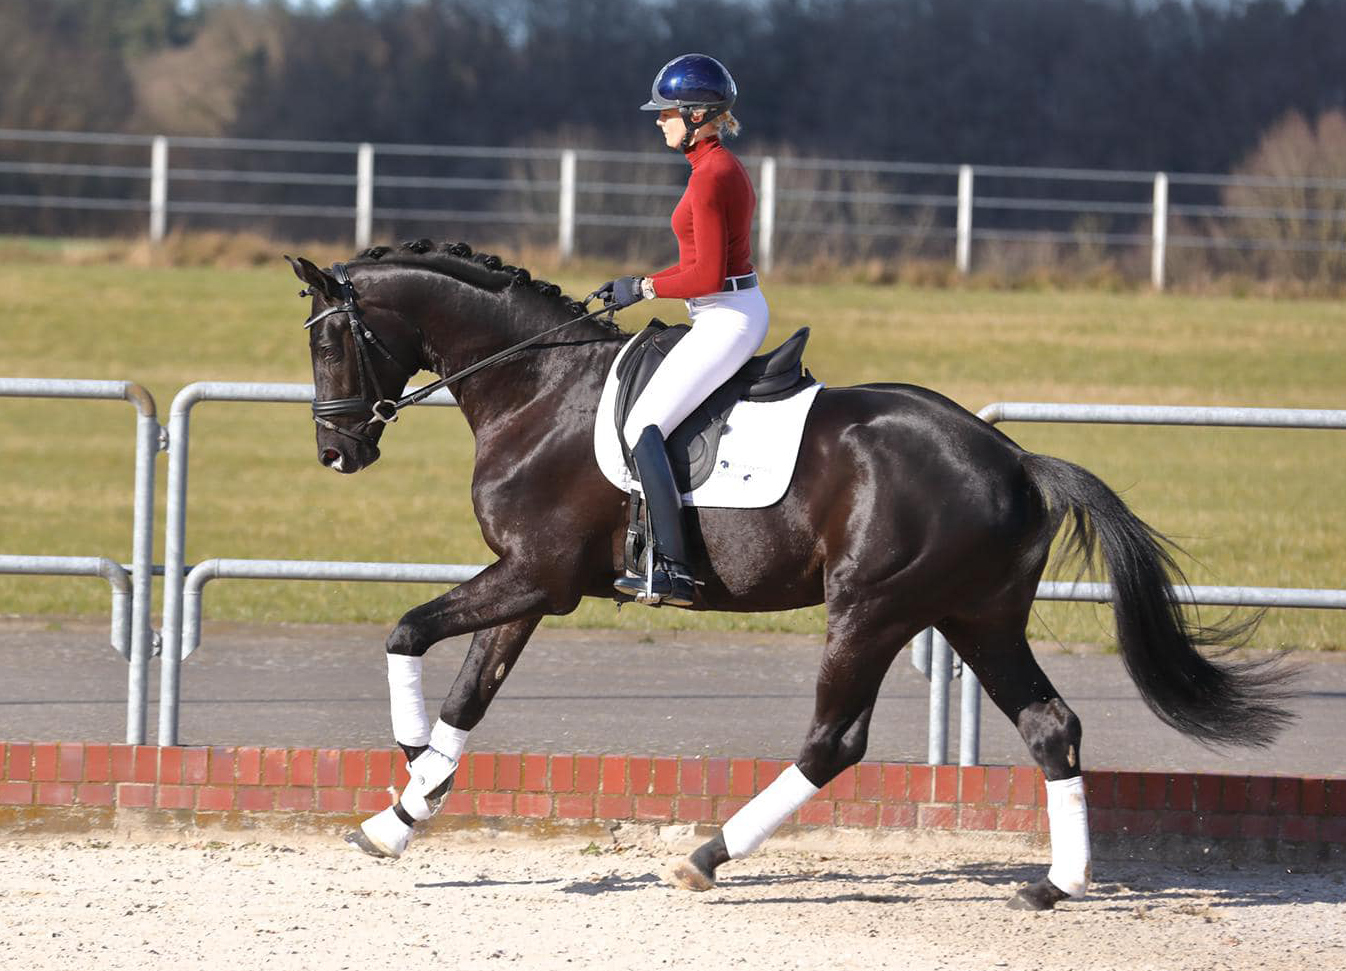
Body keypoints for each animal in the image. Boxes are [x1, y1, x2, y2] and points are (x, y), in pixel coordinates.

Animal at [286, 242, 1292, 910]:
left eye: (329, 342)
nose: (336, 451)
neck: (537, 388)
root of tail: (1012, 457)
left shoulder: (536, 575)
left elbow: (410, 631)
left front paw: (412, 764)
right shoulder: (529, 581)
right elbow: (470, 689)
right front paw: (402, 812)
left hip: (873, 609)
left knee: (832, 741)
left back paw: (705, 857)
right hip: (977, 616)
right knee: (1051, 725)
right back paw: (1057, 883)